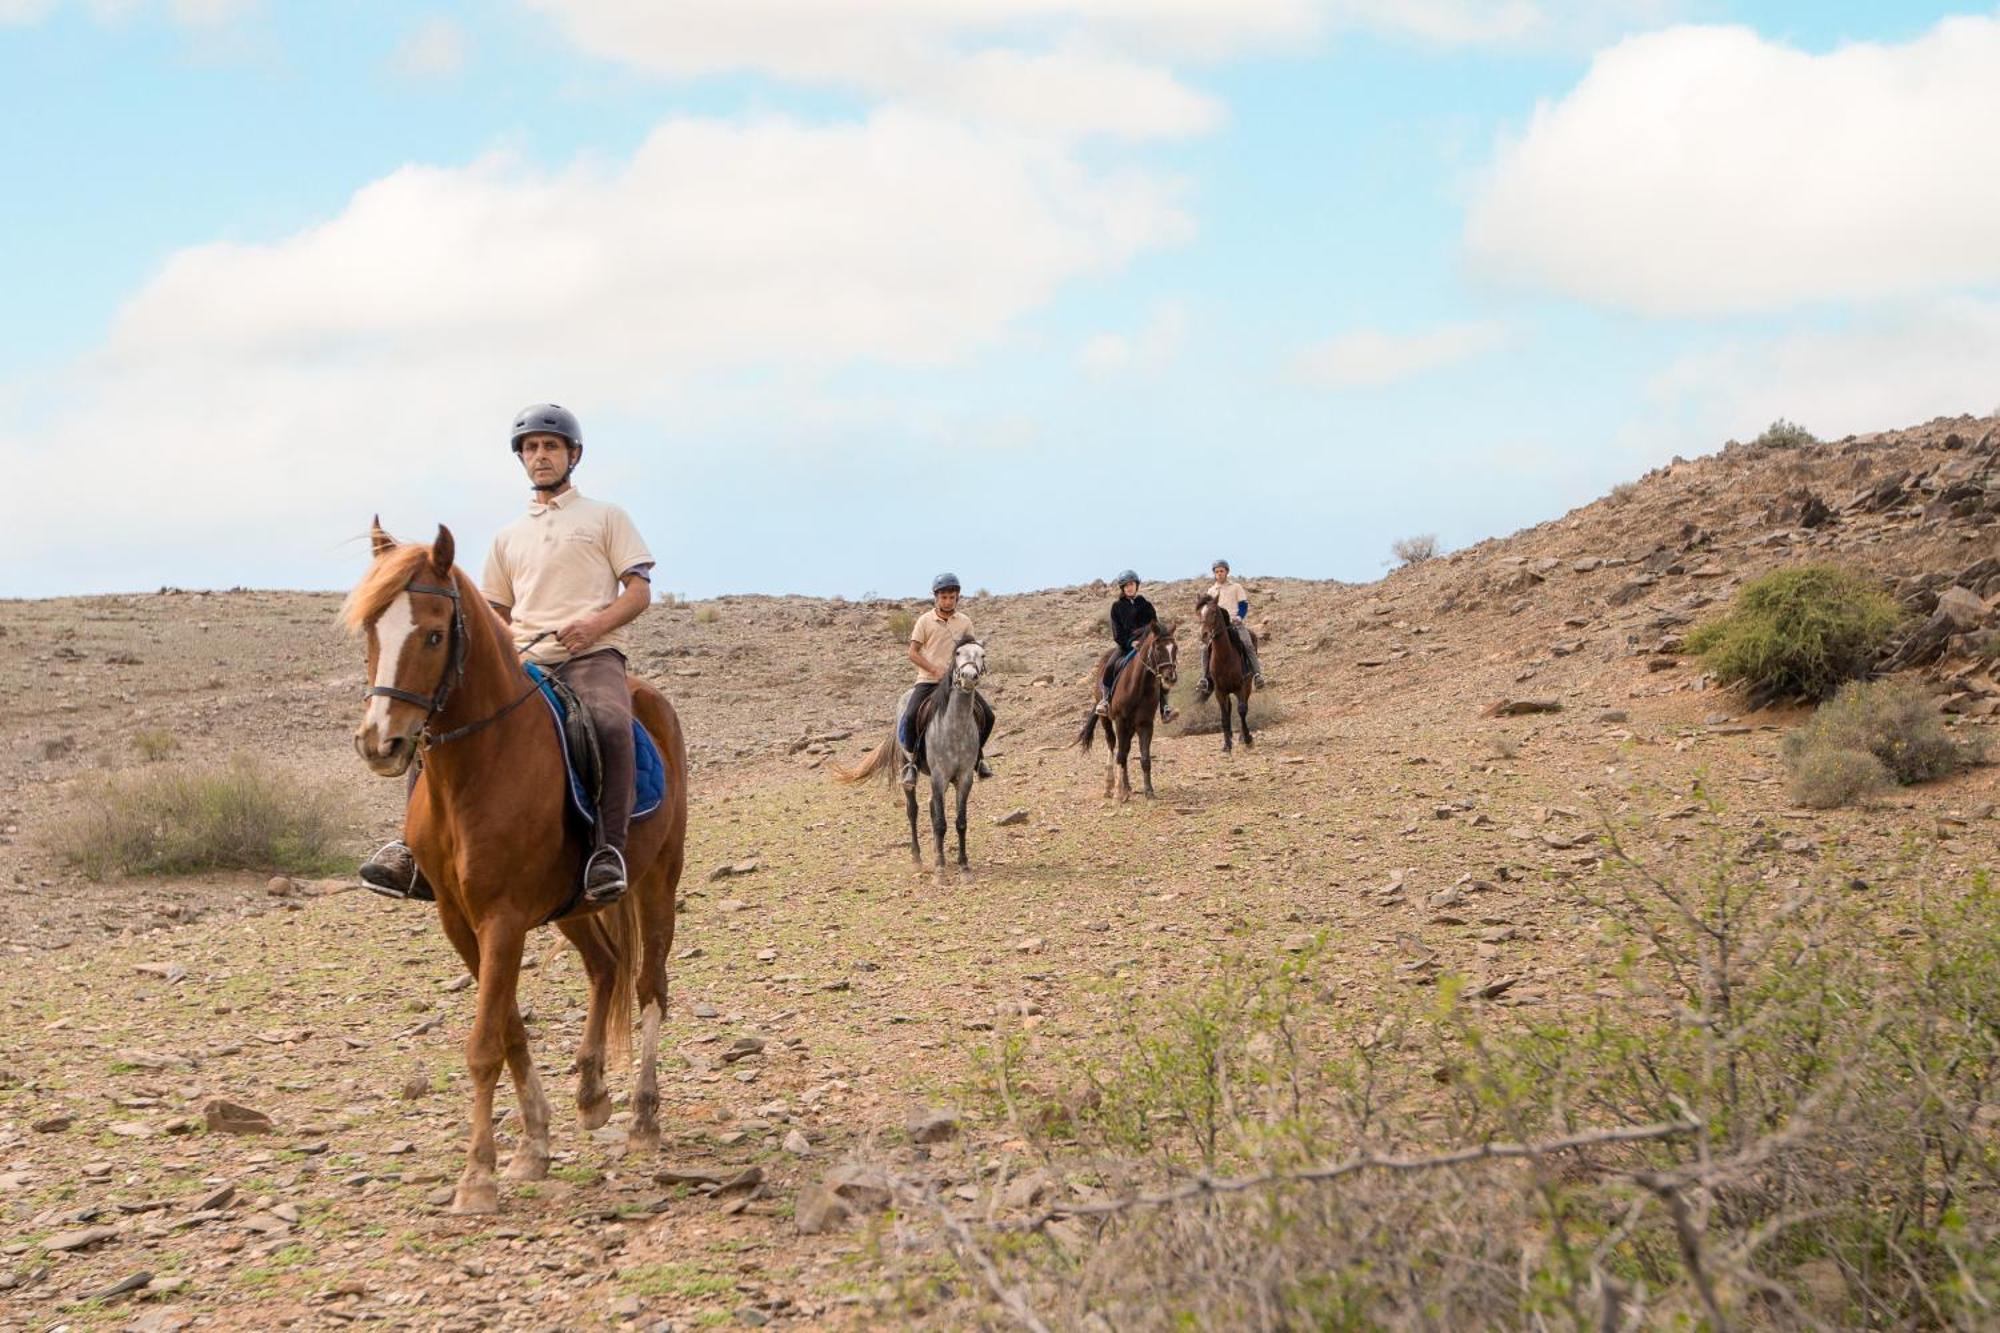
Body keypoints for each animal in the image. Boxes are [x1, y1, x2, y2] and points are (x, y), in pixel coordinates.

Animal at [344, 524, 688, 1208]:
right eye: (372, 630)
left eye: (433, 633)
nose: (380, 744)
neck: (480, 765)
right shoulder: (460, 921)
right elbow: (508, 1032)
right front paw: (532, 1145)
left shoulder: (501, 919)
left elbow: (484, 1044)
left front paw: (478, 1175)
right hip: (572, 906)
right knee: (606, 967)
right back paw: (592, 1093)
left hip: (658, 879)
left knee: (649, 986)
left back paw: (643, 1115)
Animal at [832, 636, 988, 880]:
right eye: (958, 653)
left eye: (982, 655)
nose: (969, 677)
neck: (955, 727)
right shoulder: (939, 776)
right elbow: (940, 822)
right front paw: (940, 868)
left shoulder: (964, 778)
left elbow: (960, 822)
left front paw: (963, 865)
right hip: (909, 768)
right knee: (913, 810)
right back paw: (917, 858)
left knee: (931, 807)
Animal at [1072, 624, 1176, 800]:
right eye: (1157, 648)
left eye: (1175, 648)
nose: (1170, 677)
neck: (1138, 686)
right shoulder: (1120, 722)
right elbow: (1120, 755)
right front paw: (1118, 793)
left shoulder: (1145, 724)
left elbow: (1144, 758)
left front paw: (1148, 790)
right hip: (1107, 720)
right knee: (1112, 744)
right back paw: (1110, 785)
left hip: (1131, 727)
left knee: (1125, 750)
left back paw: (1126, 786)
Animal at [1192, 588, 1256, 748]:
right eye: (1199, 612)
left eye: (1214, 612)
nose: (1204, 634)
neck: (1224, 657)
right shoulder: (1219, 691)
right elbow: (1224, 716)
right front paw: (1227, 744)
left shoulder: (1241, 687)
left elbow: (1242, 710)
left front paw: (1247, 738)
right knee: (1230, 707)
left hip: (1247, 685)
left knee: (1243, 706)